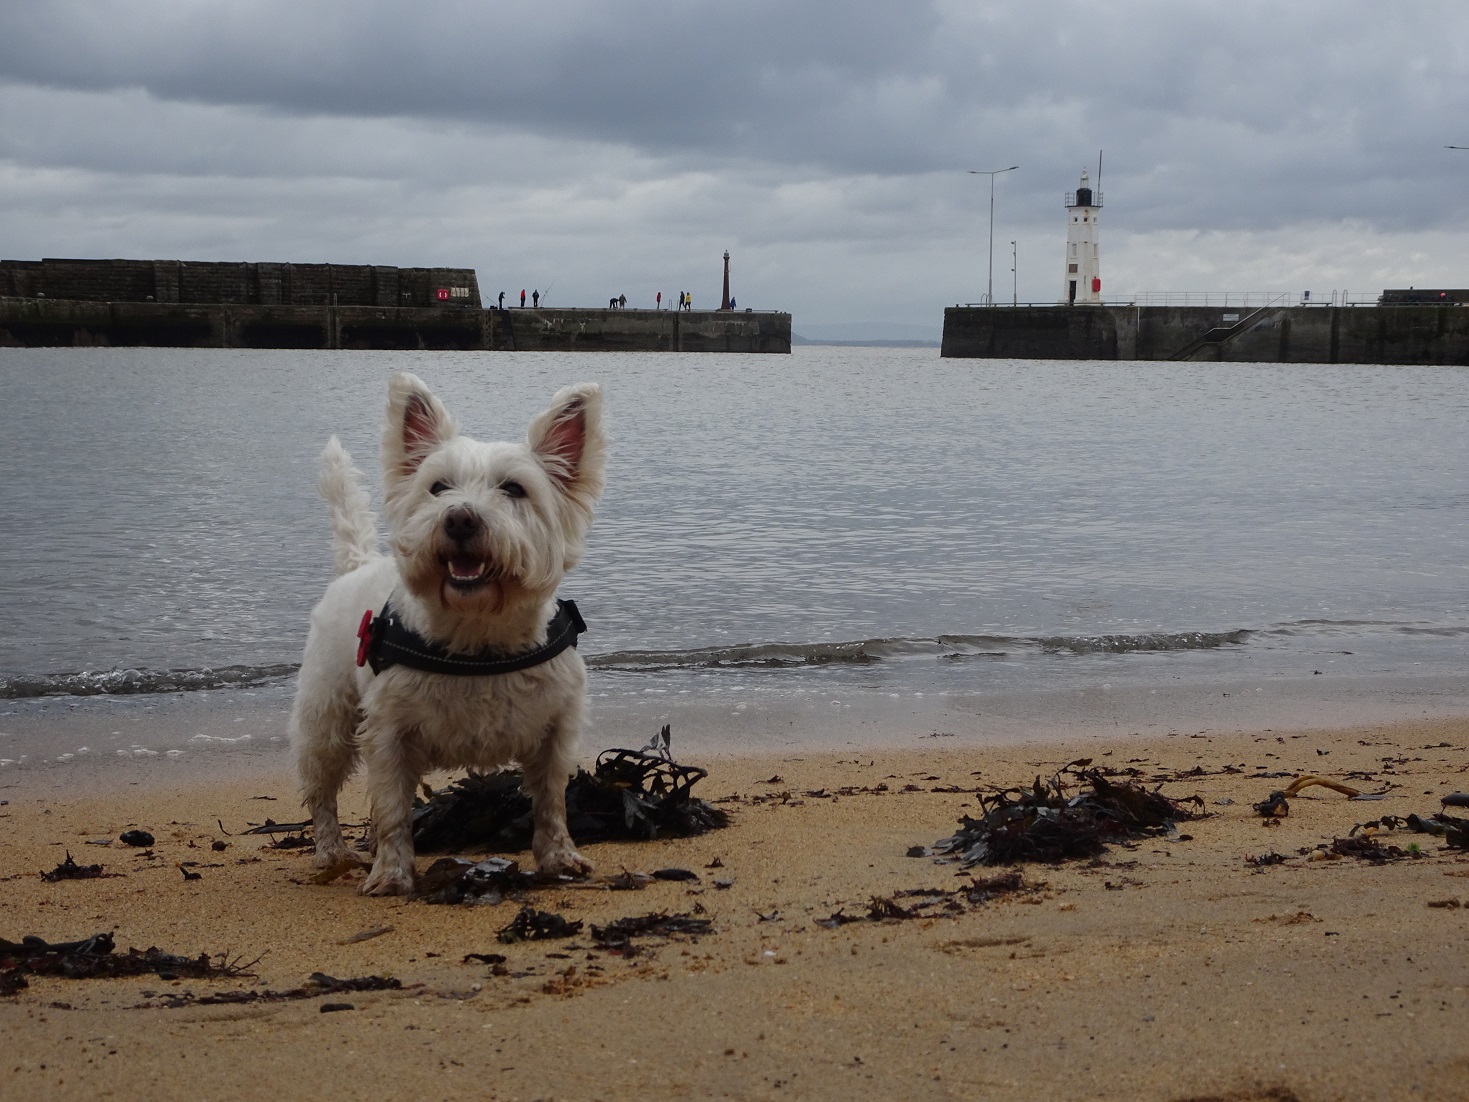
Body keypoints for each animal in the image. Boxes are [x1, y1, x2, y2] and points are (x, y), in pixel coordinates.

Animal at [289, 371, 605, 899]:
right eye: (438, 487)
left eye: (514, 488)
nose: (459, 518)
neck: (477, 638)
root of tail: (358, 564)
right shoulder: (387, 733)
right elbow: (394, 810)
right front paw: (391, 874)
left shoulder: (556, 729)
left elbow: (551, 802)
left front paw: (560, 859)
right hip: (326, 715)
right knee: (322, 789)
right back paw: (333, 852)